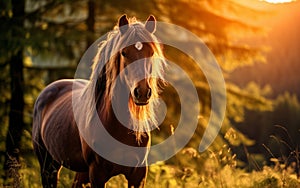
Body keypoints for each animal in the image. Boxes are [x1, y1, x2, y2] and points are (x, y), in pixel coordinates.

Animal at [32, 15, 166, 188]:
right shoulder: (97, 173)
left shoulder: (138, 175)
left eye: (151, 52)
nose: (142, 92)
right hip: (48, 165)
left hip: (80, 171)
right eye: (124, 52)